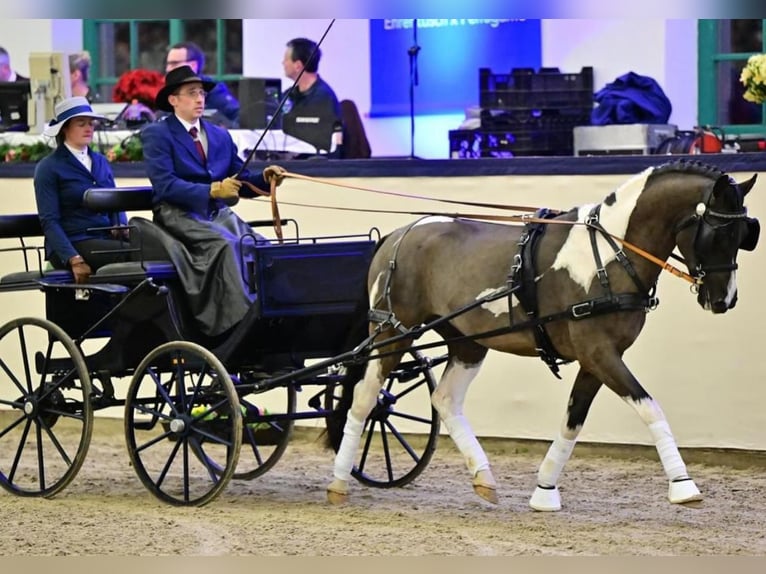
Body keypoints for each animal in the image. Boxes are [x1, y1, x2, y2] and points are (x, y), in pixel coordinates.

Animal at [324, 160, 760, 510]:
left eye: (745, 235)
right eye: (717, 234)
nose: (724, 300)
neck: (609, 255)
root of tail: (397, 234)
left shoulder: (597, 358)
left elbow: (573, 421)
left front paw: (545, 491)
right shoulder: (599, 352)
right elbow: (650, 407)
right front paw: (683, 485)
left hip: (466, 341)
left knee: (444, 399)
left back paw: (483, 477)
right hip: (391, 333)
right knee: (364, 400)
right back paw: (339, 482)